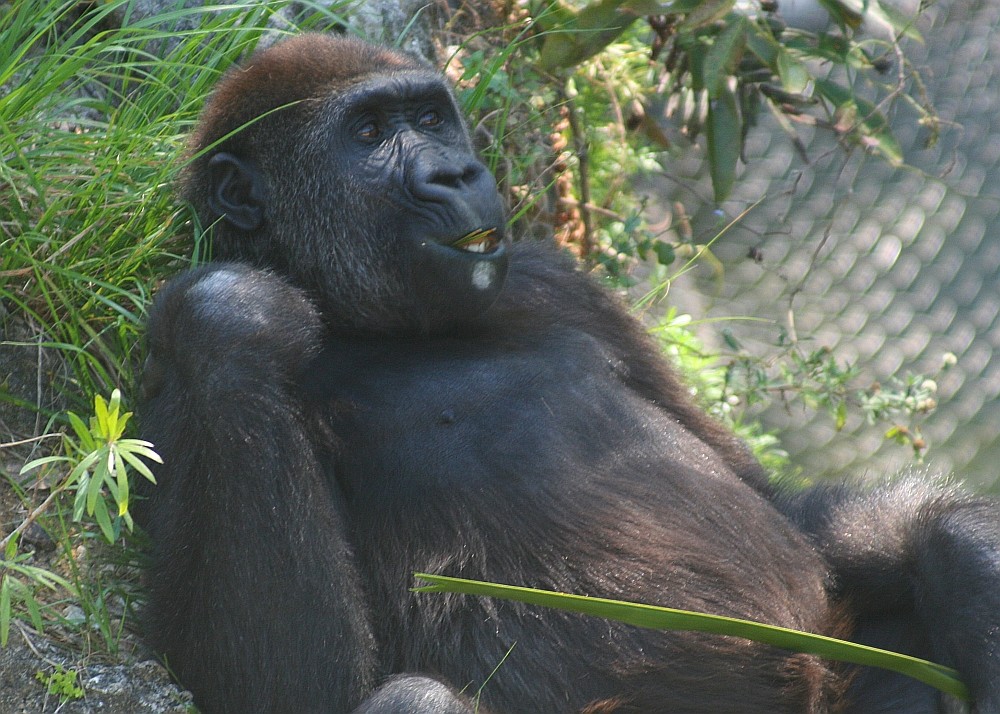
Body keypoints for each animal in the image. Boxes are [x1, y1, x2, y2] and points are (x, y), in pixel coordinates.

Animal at [139, 33, 1000, 712]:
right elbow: (283, 687)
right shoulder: (173, 373)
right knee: (415, 700)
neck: (377, 322)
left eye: (430, 117)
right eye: (369, 132)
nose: (457, 173)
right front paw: (237, 310)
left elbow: (781, 506)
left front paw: (967, 557)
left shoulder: (562, 282)